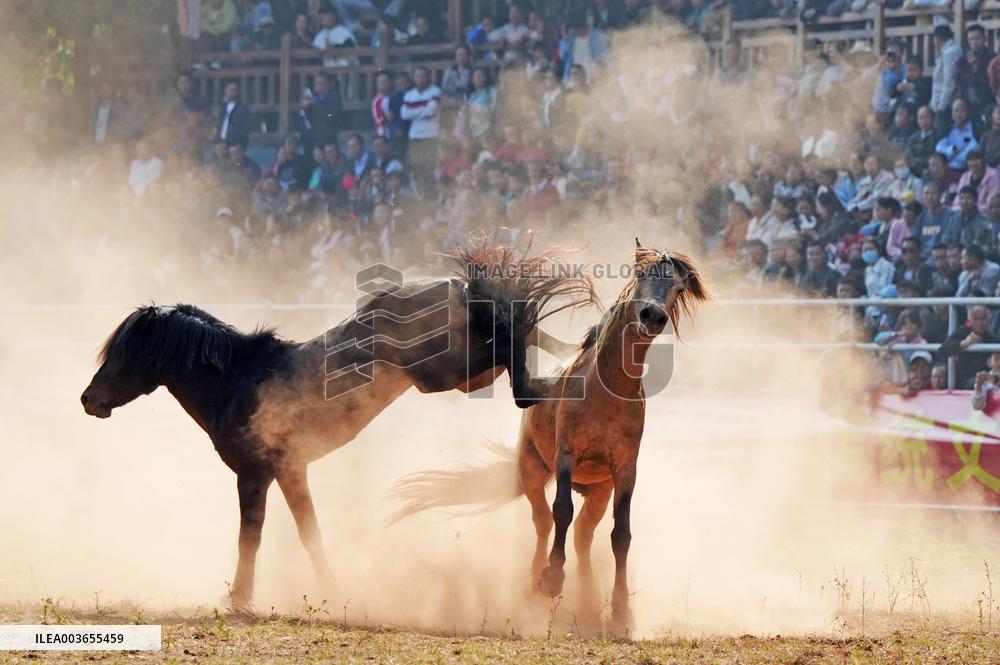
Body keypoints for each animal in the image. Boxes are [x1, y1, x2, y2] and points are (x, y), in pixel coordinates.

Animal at [80, 243, 595, 610]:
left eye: (127, 353)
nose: (89, 400)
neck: (237, 379)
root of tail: (456, 286)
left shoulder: (254, 474)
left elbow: (251, 535)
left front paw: (240, 599)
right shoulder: (290, 472)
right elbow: (310, 532)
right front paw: (331, 587)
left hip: (443, 373)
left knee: (513, 350)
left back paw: (545, 382)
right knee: (517, 335)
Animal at [389, 240, 708, 633]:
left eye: (678, 287)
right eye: (640, 274)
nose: (652, 315)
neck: (608, 388)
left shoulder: (625, 470)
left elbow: (621, 535)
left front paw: (621, 612)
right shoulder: (565, 457)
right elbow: (561, 511)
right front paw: (553, 578)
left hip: (599, 491)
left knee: (585, 535)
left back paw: (590, 603)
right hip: (532, 470)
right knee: (543, 521)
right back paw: (535, 583)